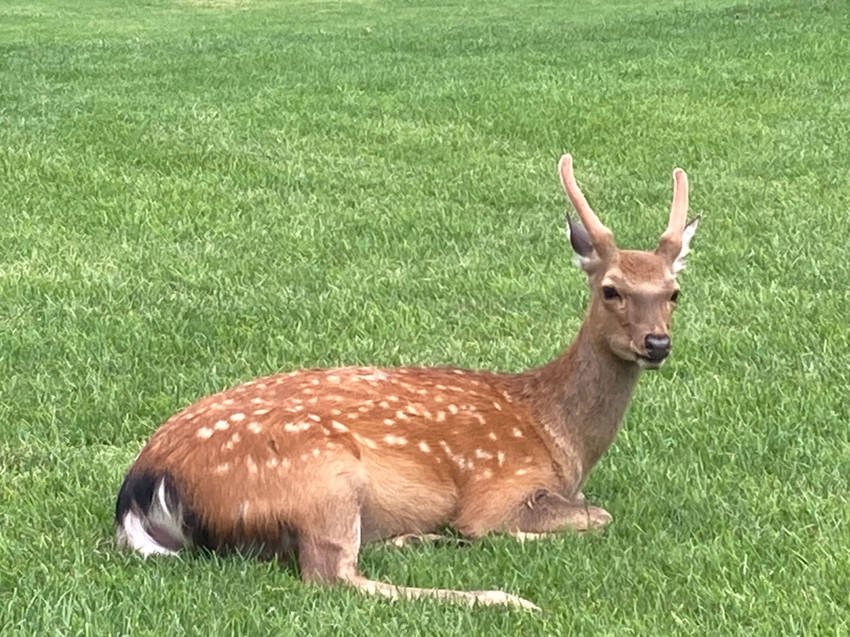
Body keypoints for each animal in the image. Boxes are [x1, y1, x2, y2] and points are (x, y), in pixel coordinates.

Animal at [114, 154, 696, 612]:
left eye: (674, 292)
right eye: (611, 290)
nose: (657, 343)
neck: (557, 432)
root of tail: (143, 484)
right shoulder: (500, 485)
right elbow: (596, 516)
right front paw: (491, 539)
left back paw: (420, 539)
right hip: (319, 475)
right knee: (330, 575)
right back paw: (503, 596)